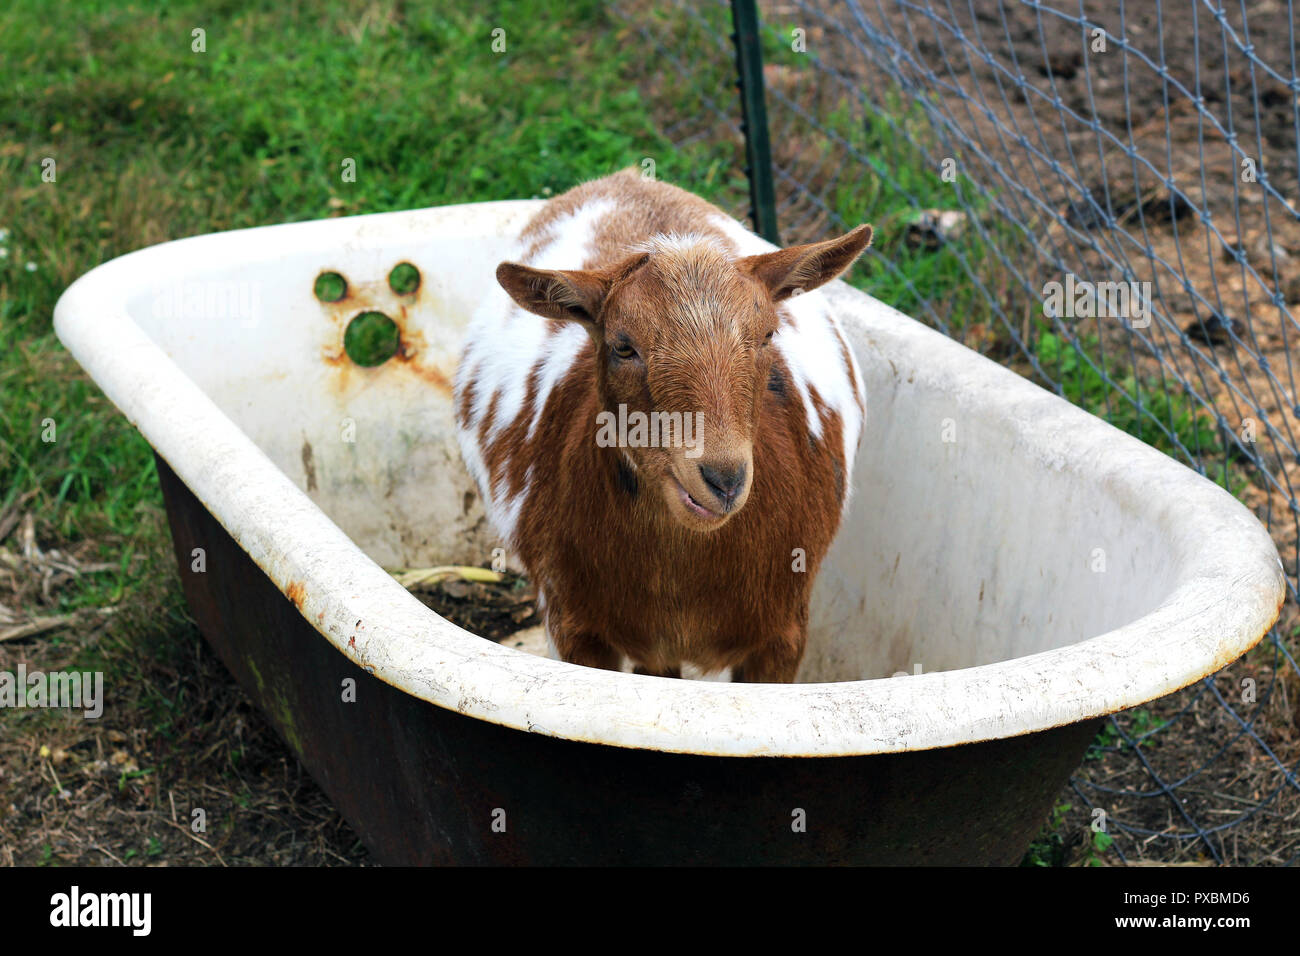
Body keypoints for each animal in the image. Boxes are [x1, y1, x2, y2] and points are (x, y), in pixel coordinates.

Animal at [452, 170, 868, 681]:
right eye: (623, 346)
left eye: (768, 334)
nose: (723, 479)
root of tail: (628, 178)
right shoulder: (574, 625)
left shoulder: (783, 634)